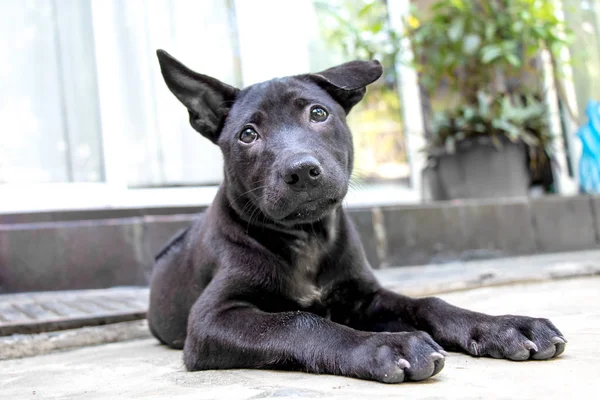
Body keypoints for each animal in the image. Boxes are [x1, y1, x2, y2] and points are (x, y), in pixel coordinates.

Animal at [148, 50, 564, 384]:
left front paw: (505, 327)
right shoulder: (211, 319)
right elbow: (299, 320)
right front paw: (386, 347)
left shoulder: (365, 297)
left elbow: (428, 304)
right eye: (247, 135)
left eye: (318, 113)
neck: (308, 237)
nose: (301, 171)